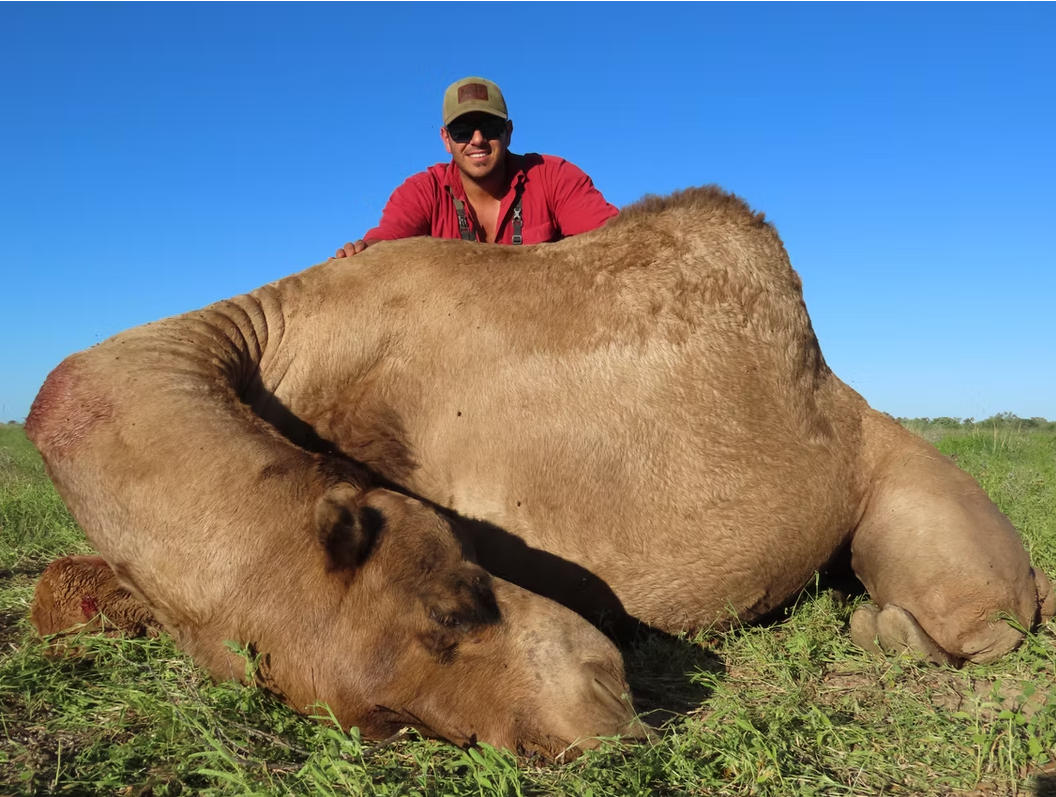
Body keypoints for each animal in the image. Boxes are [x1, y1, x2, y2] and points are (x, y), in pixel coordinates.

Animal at [27, 186, 1053, 752]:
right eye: (389, 721)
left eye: (453, 602)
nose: (596, 706)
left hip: (923, 509)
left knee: (977, 613)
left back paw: (885, 625)